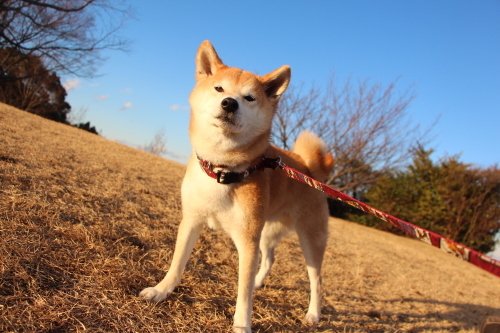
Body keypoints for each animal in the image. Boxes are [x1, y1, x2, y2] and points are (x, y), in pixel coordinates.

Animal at [141, 40, 334, 330]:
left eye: (249, 98)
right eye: (219, 88)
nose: (229, 103)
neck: (223, 170)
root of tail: (309, 168)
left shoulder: (247, 241)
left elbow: (242, 293)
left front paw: (242, 325)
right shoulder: (191, 221)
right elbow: (177, 265)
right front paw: (161, 290)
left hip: (309, 239)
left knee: (317, 280)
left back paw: (313, 314)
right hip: (267, 231)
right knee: (270, 259)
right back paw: (259, 282)